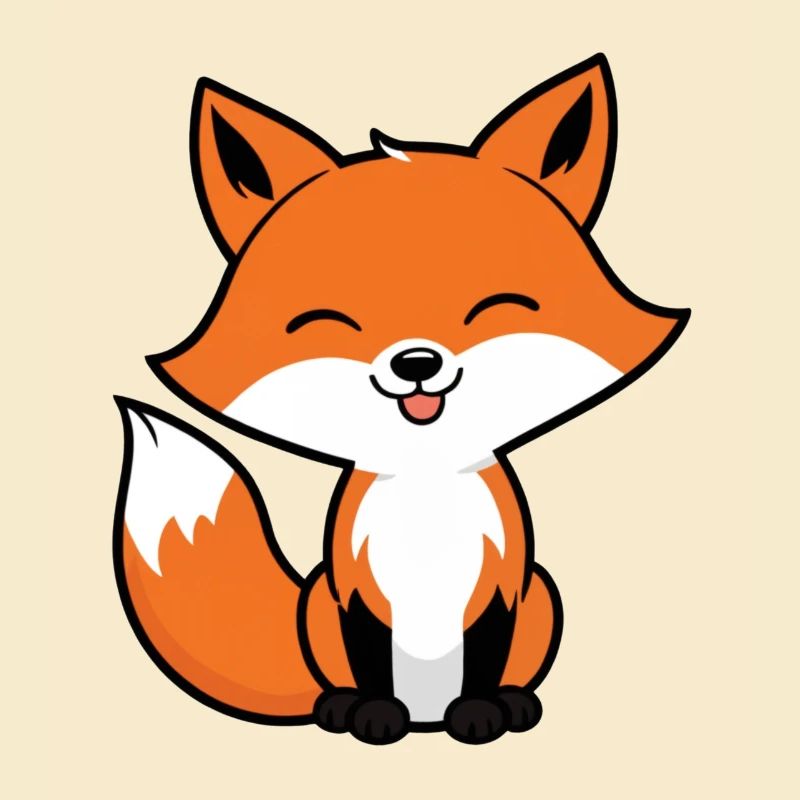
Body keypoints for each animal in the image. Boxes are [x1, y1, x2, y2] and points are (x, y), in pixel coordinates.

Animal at [113, 54, 689, 745]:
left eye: (494, 308)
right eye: (330, 322)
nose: (417, 362)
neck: (425, 486)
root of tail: (426, 720)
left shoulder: (501, 585)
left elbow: (485, 654)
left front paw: (481, 712)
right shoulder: (355, 590)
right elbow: (370, 656)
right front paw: (373, 714)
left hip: (543, 594)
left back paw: (508, 704)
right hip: (318, 600)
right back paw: (342, 708)